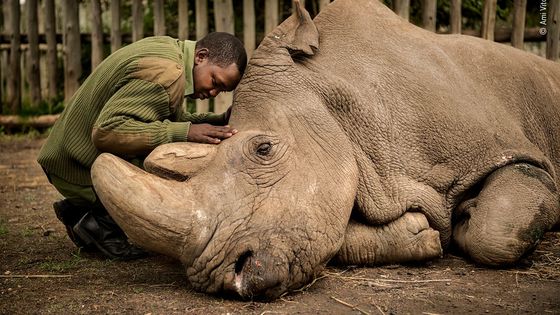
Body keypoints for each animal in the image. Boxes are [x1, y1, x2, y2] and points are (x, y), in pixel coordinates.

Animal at [89, 0, 556, 302]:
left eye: (263, 149)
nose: (225, 277)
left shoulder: (512, 152)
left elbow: (496, 230)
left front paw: (468, 215)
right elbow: (333, 234)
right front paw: (421, 233)